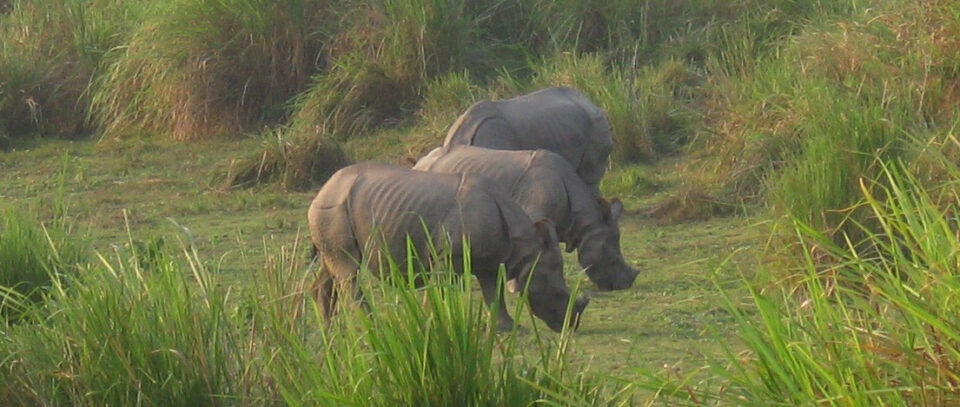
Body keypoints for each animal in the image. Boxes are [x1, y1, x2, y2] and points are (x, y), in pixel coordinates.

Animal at [307, 162, 589, 332]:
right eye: (557, 293)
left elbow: (493, 292)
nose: (572, 324)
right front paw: (431, 321)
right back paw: (374, 325)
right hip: (333, 208)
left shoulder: (491, 259)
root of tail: (322, 190)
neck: (526, 249)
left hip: (335, 208)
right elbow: (440, 288)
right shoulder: (447, 254)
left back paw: (329, 329)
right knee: (348, 270)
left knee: (333, 267)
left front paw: (507, 327)